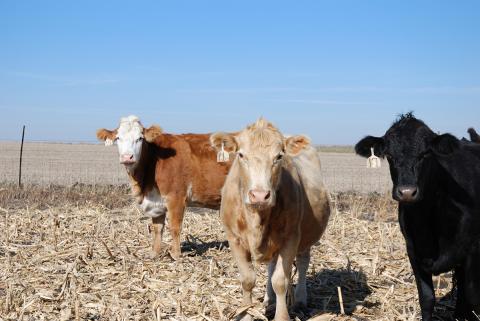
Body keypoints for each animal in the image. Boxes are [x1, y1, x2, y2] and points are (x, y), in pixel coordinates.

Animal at [96, 116, 232, 258]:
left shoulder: (176, 198)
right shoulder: (155, 201)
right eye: (118, 138)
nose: (127, 157)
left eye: (140, 138)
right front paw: (154, 253)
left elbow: (175, 227)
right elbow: (157, 228)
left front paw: (176, 255)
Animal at [210, 118, 330, 320]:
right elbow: (248, 279)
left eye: (279, 156)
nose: (259, 195)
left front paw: (282, 316)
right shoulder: (234, 239)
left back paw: (300, 299)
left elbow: (281, 281)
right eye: (241, 154)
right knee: (271, 266)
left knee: (303, 263)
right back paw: (269, 299)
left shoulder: (291, 238)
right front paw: (245, 313)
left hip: (306, 236)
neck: (257, 220)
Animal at [354, 112, 480, 318]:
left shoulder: (472, 250)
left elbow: (473, 297)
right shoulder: (413, 251)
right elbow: (427, 299)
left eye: (425, 154)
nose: (406, 192)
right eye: (389, 155)